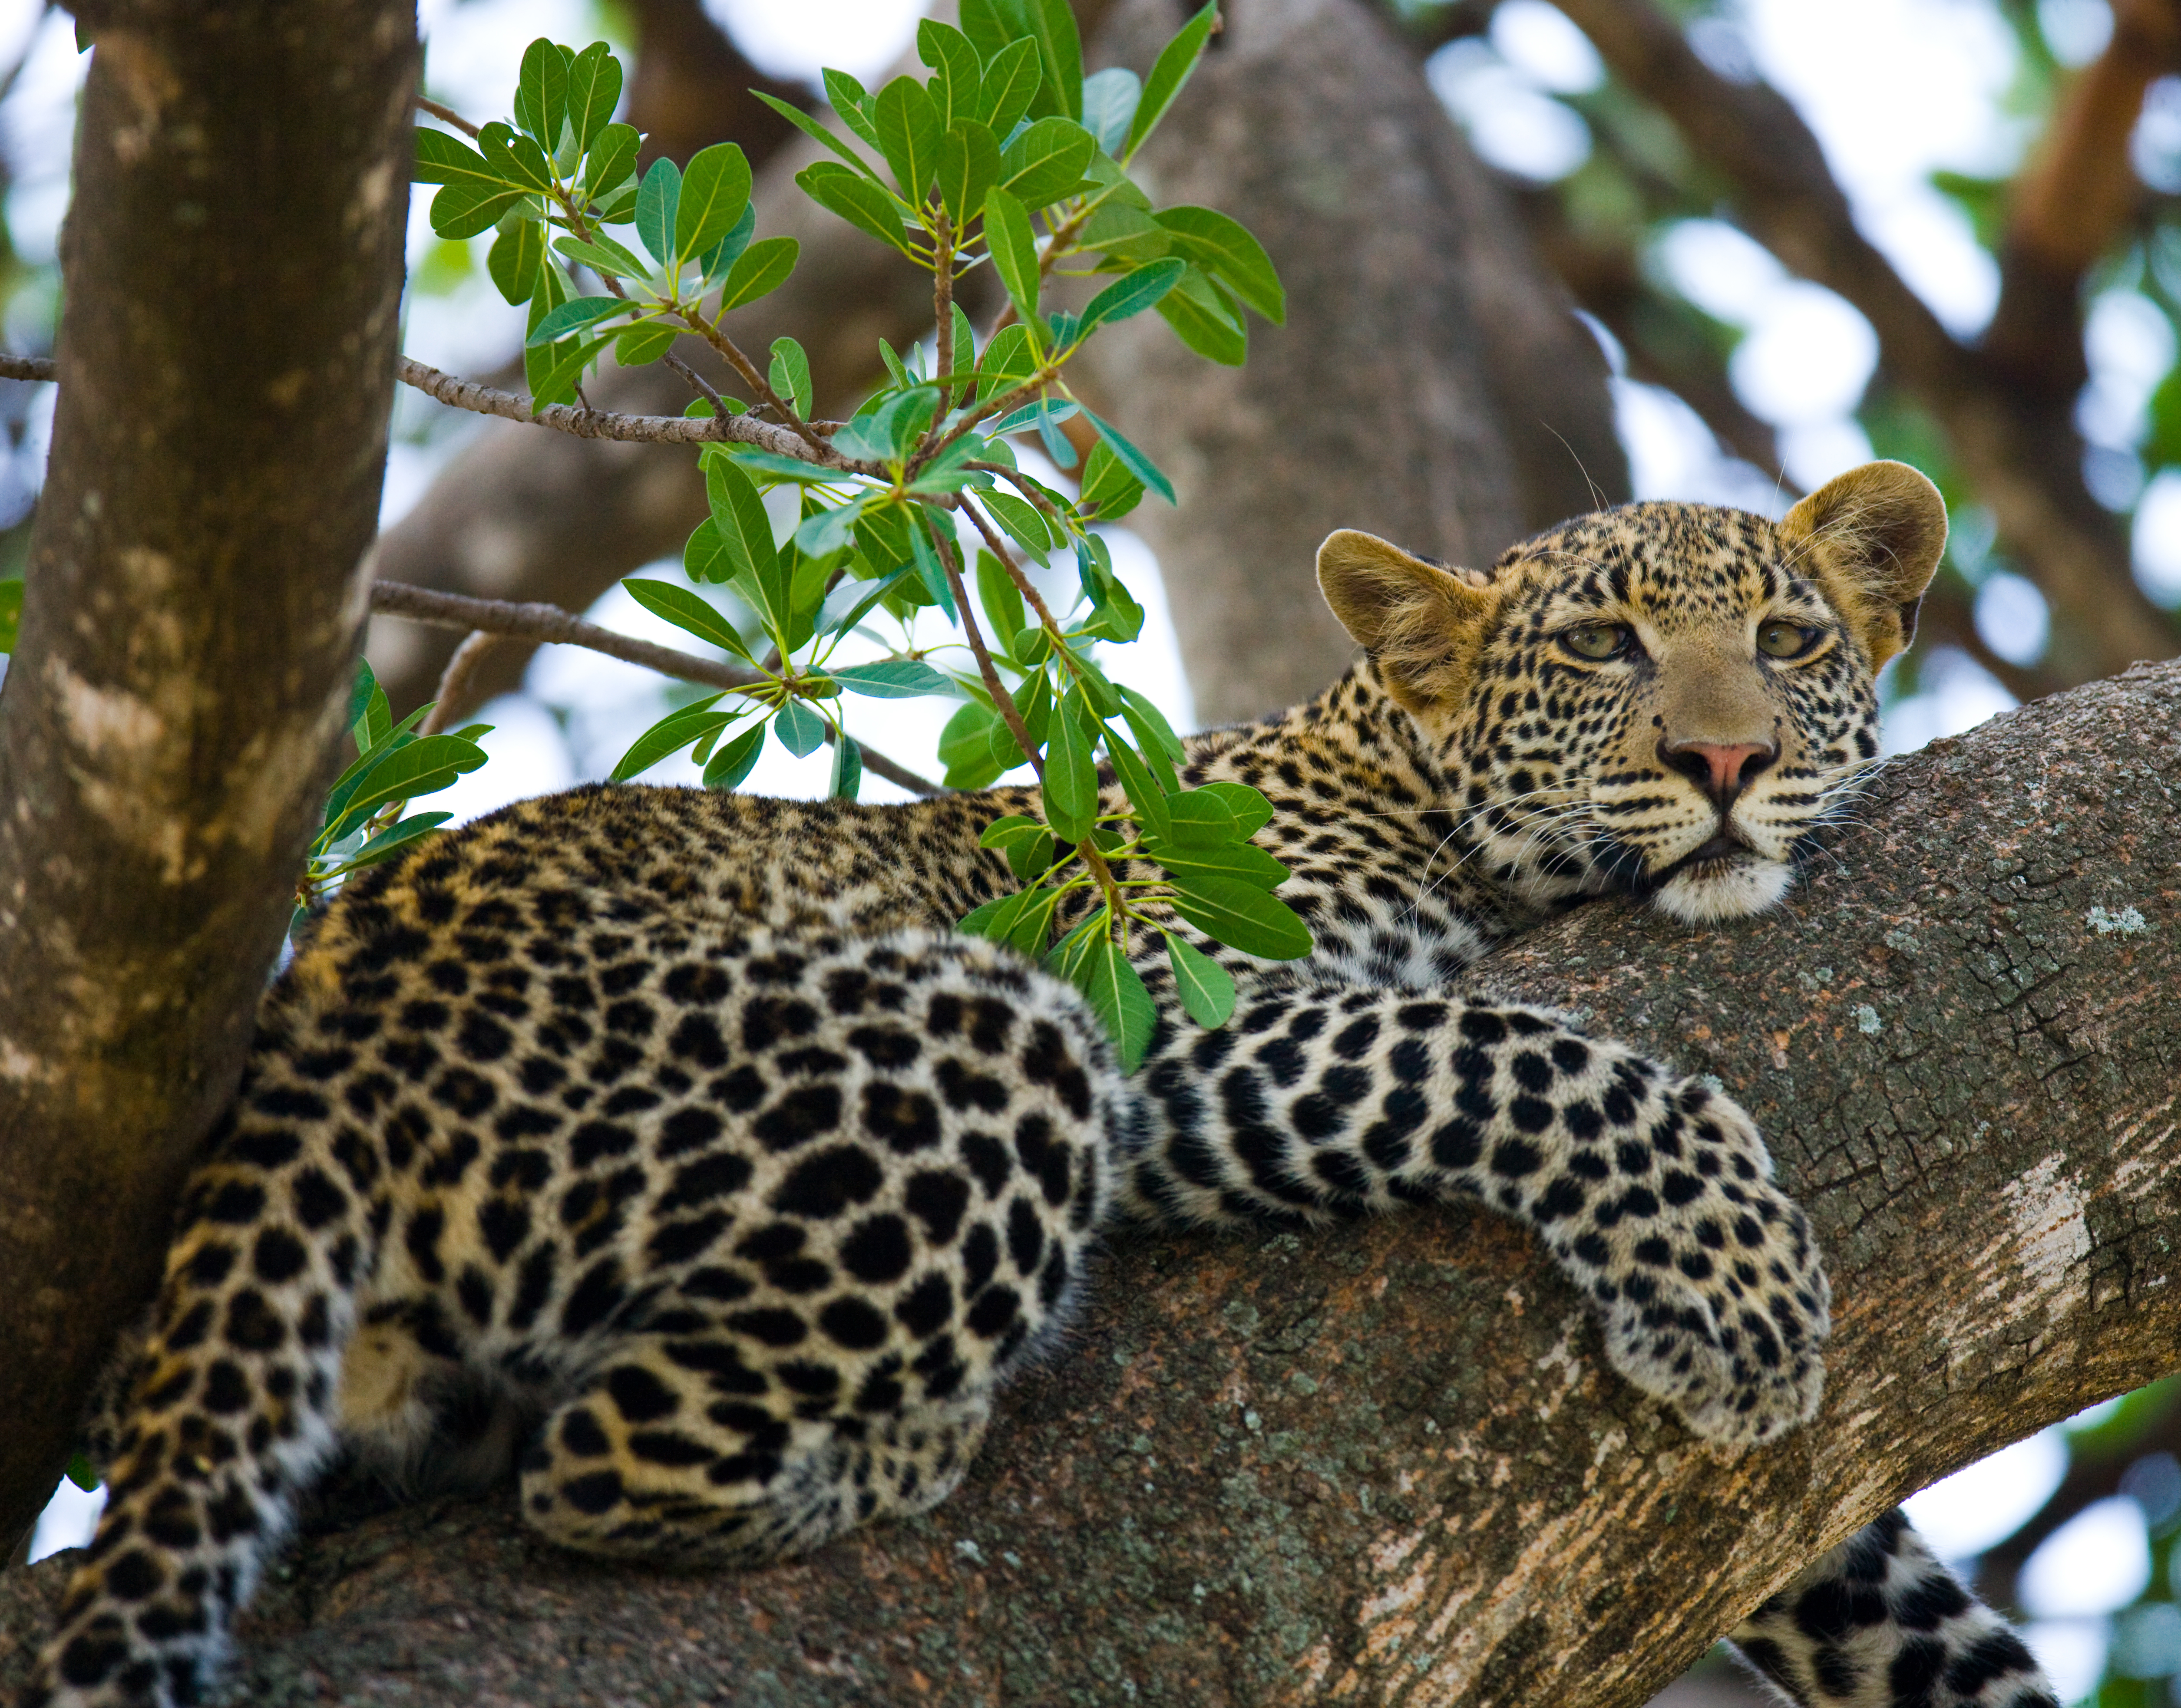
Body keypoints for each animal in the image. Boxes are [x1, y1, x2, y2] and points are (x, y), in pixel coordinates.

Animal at [24, 459, 2058, 1708]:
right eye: (1596, 647)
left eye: (1790, 640)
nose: (1725, 759)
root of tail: (327, 1013)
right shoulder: (1171, 1012)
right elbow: (1510, 1047)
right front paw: (1731, 1275)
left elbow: (1879, 1583)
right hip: (987, 1035)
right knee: (596, 1461)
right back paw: (898, 1443)